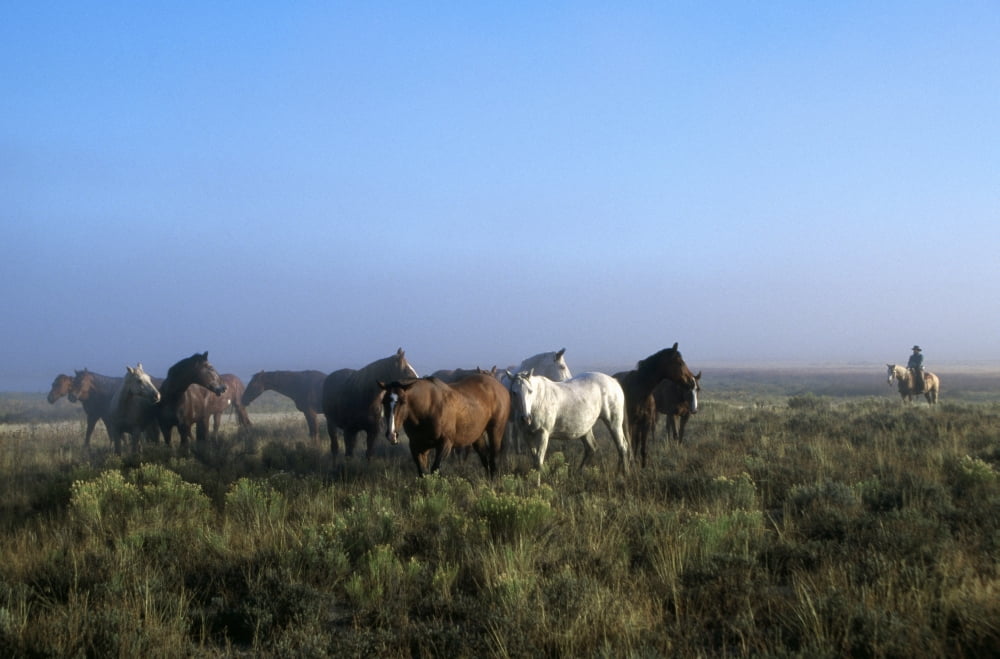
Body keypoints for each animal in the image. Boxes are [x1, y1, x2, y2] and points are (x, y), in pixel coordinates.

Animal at [378, 373, 510, 477]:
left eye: (403, 402)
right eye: (383, 401)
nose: (391, 435)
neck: (428, 407)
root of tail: (501, 387)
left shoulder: (445, 443)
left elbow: (435, 470)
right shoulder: (417, 446)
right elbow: (423, 473)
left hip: (496, 430)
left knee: (493, 459)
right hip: (477, 435)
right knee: (484, 457)